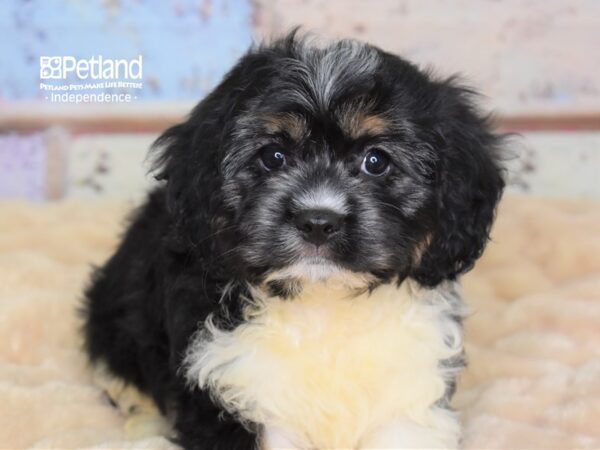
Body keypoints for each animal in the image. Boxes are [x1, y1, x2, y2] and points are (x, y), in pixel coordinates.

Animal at [83, 32, 506, 450]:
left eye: (376, 161)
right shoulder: (233, 384)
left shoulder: (407, 392)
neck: (322, 302)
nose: (318, 221)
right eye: (274, 156)